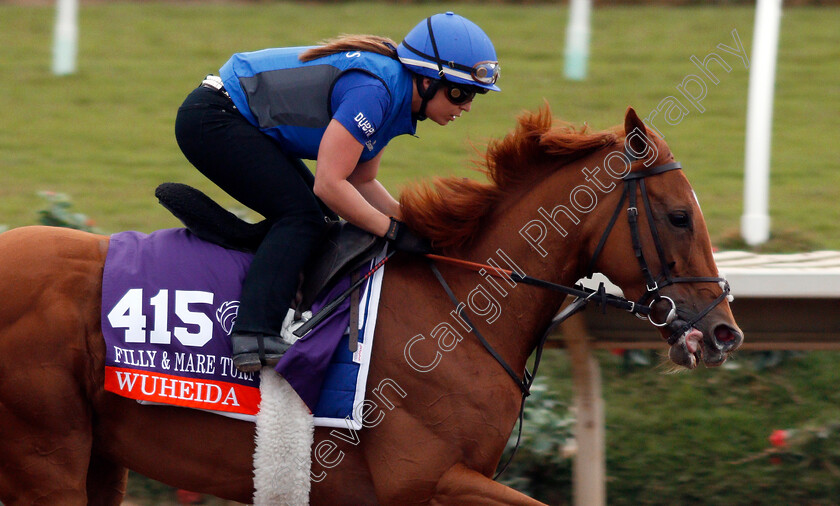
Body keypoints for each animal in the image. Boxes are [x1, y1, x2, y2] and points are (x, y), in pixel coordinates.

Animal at [0, 106, 740, 502]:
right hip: (46, 455)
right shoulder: (428, 480)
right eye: (679, 216)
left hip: (100, 457)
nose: (723, 333)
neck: (461, 308)